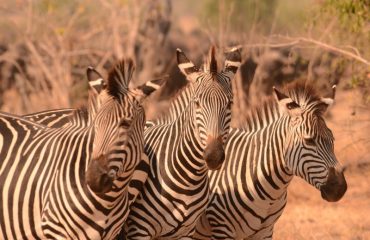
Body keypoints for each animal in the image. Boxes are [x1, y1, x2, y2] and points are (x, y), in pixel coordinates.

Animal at [123, 46, 241, 239]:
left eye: (230, 104)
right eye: (197, 103)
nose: (214, 156)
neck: (189, 178)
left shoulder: (186, 231)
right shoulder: (138, 228)